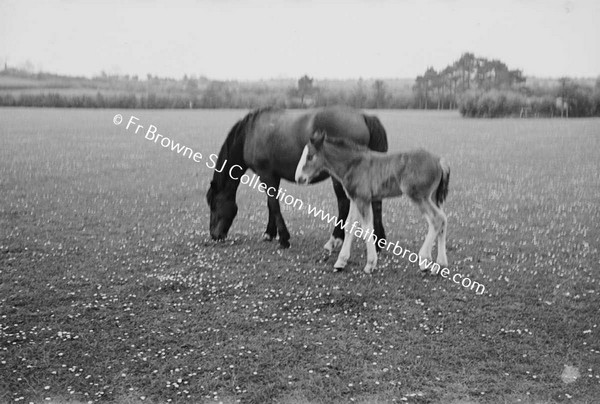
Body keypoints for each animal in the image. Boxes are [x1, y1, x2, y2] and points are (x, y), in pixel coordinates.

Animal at [205, 105, 390, 249]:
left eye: (213, 204)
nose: (214, 235)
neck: (251, 133)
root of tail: (363, 116)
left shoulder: (265, 174)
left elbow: (274, 204)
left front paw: (283, 239)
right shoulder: (273, 176)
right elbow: (270, 203)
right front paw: (270, 233)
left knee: (344, 203)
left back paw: (336, 238)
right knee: (376, 203)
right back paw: (378, 241)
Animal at [296, 131, 450, 274]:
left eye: (310, 156)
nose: (299, 178)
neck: (353, 164)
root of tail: (439, 160)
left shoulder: (363, 199)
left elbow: (367, 229)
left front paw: (370, 264)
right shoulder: (355, 199)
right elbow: (349, 226)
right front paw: (341, 262)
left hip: (419, 196)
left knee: (437, 219)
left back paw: (424, 260)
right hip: (434, 197)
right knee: (443, 221)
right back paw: (440, 264)